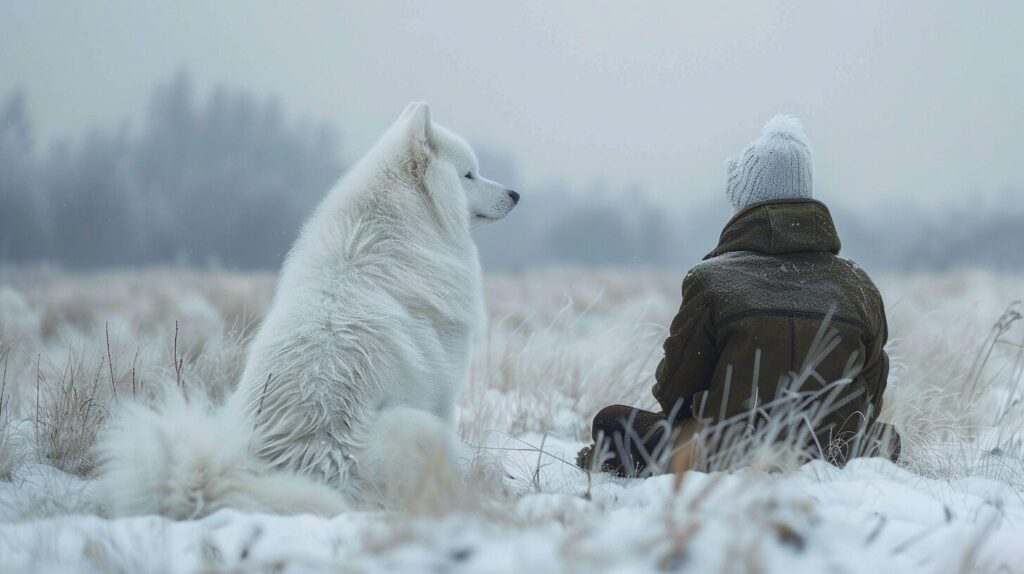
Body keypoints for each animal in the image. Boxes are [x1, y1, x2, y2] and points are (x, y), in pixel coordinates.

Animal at [98, 102, 516, 519]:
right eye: (469, 174)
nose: (515, 193)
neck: (388, 239)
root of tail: (311, 467)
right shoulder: (442, 394)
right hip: (413, 425)